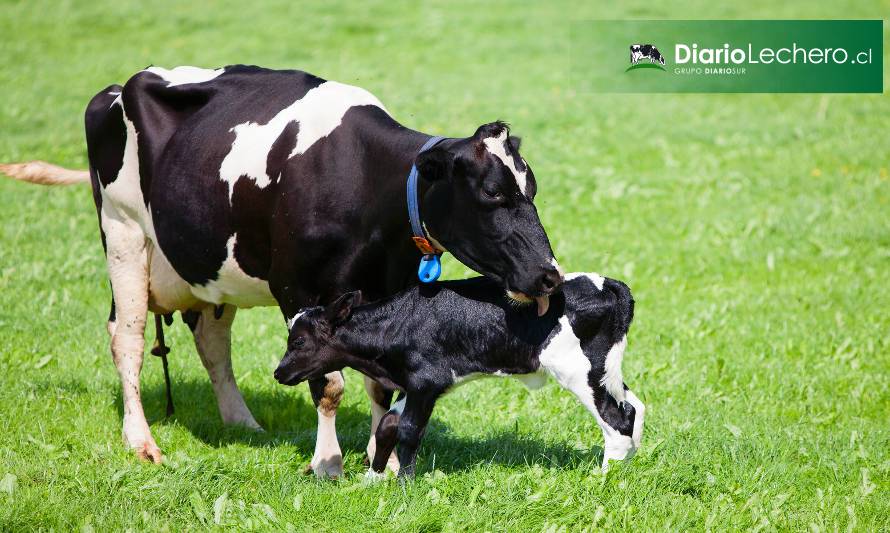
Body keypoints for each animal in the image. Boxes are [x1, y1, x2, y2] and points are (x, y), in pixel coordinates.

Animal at [1, 64, 560, 476]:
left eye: (531, 189)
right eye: (492, 194)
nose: (550, 275)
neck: (365, 180)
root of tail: (118, 86)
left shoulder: (385, 288)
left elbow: (381, 383)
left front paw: (382, 460)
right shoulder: (296, 288)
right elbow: (328, 383)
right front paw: (328, 463)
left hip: (210, 264)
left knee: (211, 339)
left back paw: (241, 423)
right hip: (122, 234)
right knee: (128, 338)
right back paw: (142, 442)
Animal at [274, 270, 640, 478]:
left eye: (299, 341)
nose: (278, 372)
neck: (395, 324)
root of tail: (607, 284)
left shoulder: (425, 382)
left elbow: (408, 430)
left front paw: (404, 485)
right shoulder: (414, 385)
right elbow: (387, 425)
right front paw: (374, 480)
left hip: (579, 371)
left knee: (615, 419)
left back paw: (604, 478)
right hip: (605, 369)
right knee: (633, 405)